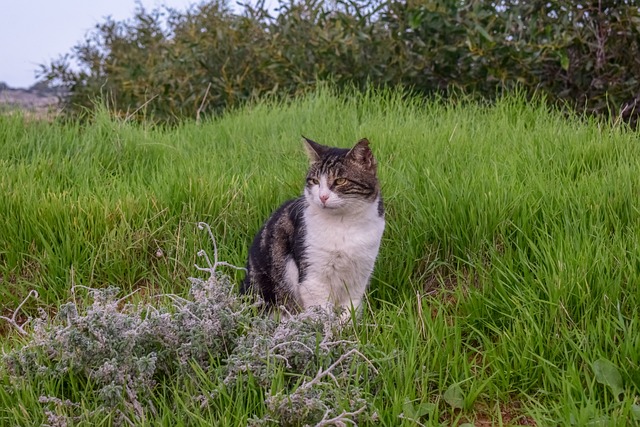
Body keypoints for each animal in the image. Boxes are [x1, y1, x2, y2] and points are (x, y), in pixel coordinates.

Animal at [241, 136, 384, 318]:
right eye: (315, 181)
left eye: (340, 181)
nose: (322, 196)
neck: (343, 223)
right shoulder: (314, 277)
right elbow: (321, 312)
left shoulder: (359, 276)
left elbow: (350, 310)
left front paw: (346, 324)